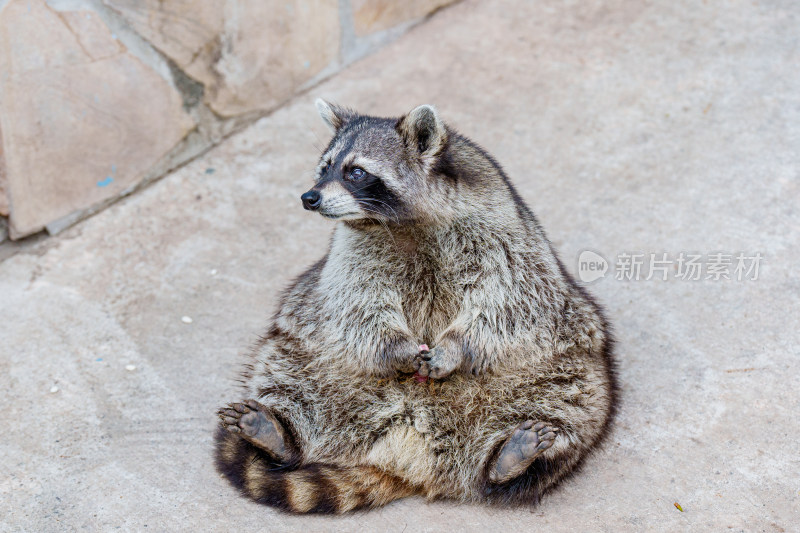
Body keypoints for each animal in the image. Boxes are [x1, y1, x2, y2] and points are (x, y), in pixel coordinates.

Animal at [214, 100, 620, 512]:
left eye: (356, 172)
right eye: (324, 167)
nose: (309, 197)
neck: (402, 221)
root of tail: (404, 457)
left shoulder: (502, 235)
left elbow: (505, 298)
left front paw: (456, 346)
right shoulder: (352, 254)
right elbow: (356, 301)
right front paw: (397, 347)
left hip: (564, 365)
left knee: (570, 396)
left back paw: (512, 460)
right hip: (308, 353)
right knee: (286, 369)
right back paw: (280, 434)